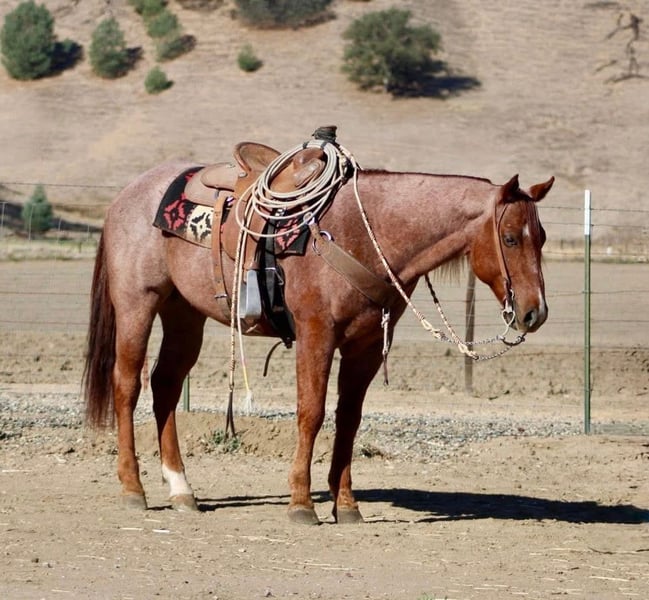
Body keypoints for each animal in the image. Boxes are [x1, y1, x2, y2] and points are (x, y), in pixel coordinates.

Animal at [83, 141, 553, 525]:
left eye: (543, 237)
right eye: (510, 238)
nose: (535, 313)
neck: (364, 231)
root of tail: (126, 195)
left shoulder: (365, 346)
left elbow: (349, 419)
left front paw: (346, 505)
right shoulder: (316, 335)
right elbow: (310, 413)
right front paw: (301, 504)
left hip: (184, 314)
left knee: (165, 384)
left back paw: (182, 490)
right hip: (138, 304)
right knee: (127, 384)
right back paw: (133, 489)